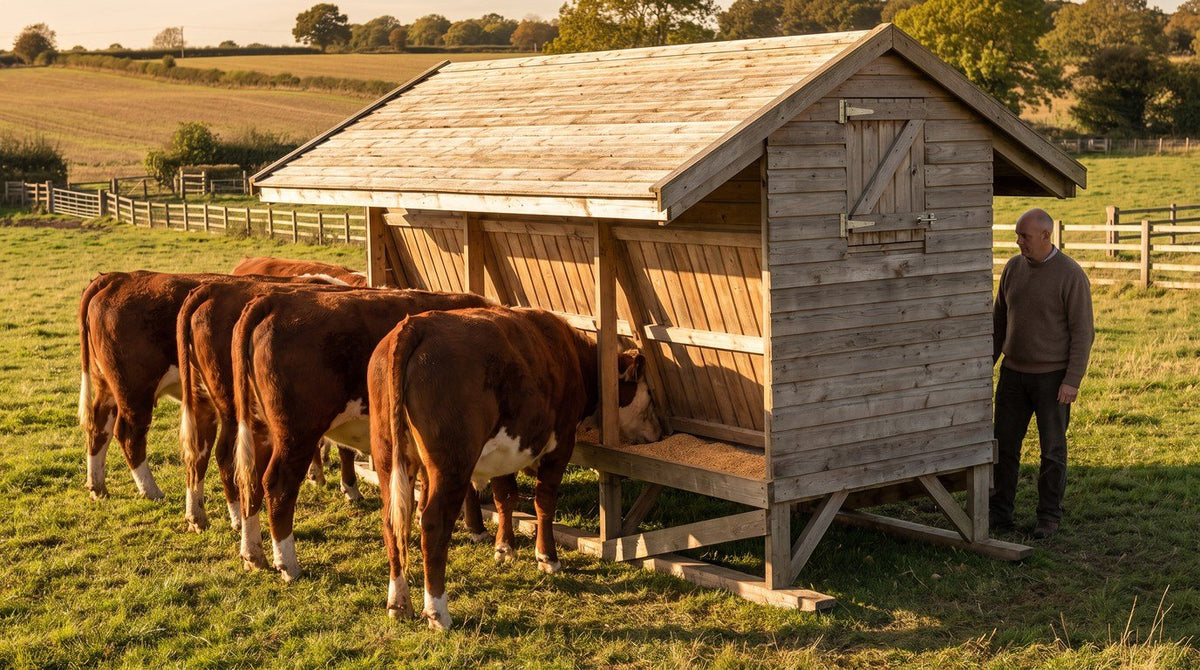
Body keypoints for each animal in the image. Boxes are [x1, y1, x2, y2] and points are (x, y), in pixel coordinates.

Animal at [176, 279, 362, 533]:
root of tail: (211, 288)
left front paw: (319, 475)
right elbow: (345, 448)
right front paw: (348, 487)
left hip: (202, 399)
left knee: (198, 452)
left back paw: (197, 516)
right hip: (232, 407)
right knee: (227, 457)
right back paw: (237, 517)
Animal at [232, 288, 493, 582]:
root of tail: (275, 299)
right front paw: (477, 529)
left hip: (259, 427)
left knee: (250, 480)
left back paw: (253, 554)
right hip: (297, 434)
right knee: (278, 486)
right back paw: (288, 565)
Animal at [367, 306, 663, 630]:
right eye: (649, 395)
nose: (660, 433)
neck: (572, 357)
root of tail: (416, 325)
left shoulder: (502, 452)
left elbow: (505, 497)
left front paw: (504, 548)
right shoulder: (560, 444)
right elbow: (544, 502)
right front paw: (547, 557)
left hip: (390, 457)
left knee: (393, 521)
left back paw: (398, 603)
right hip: (452, 464)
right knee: (433, 523)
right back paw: (438, 613)